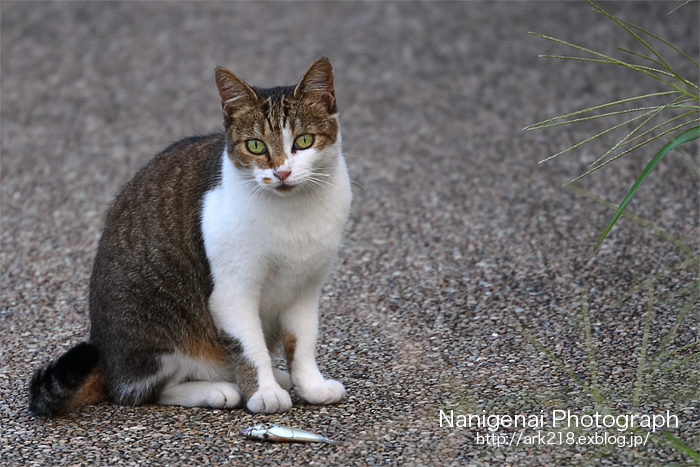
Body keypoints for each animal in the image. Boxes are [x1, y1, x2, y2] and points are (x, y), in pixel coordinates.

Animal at [29, 56, 352, 418]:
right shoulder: (232, 292)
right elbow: (249, 346)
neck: (292, 213)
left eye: (304, 141)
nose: (281, 172)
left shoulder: (305, 288)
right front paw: (263, 391)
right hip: (159, 328)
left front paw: (310, 385)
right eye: (256, 146)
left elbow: (303, 343)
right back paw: (217, 389)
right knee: (141, 391)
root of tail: (109, 363)